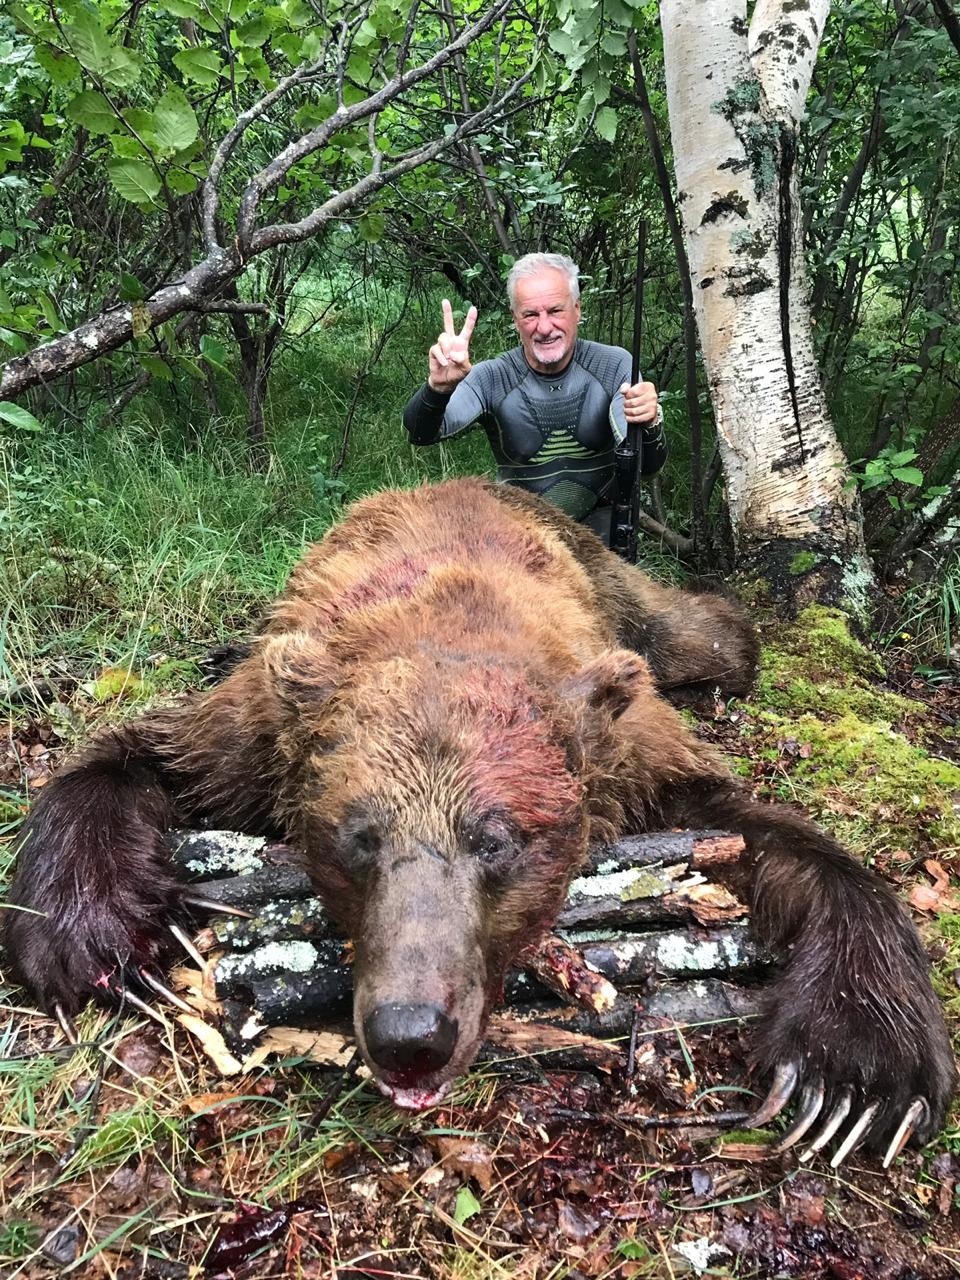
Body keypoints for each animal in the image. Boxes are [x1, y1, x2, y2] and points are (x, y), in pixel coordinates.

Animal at [5, 481, 957, 1162]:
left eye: (496, 843)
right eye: (357, 839)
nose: (410, 1036)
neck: (451, 626)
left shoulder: (632, 760)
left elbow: (766, 836)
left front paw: (854, 1069)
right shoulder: (258, 740)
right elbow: (137, 755)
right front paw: (93, 933)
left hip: (628, 595)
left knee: (710, 634)